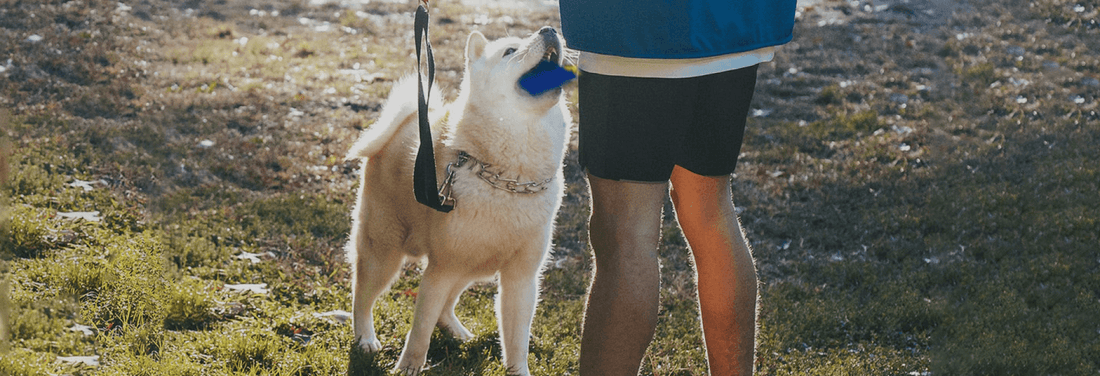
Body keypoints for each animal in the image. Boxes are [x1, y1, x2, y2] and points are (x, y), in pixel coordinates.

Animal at [343, 27, 572, 376]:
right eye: (510, 51)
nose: (549, 30)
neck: (510, 177)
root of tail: (404, 124)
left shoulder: (521, 280)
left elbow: (517, 340)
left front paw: (518, 370)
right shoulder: (439, 271)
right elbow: (420, 331)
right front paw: (408, 367)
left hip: (471, 266)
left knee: (446, 307)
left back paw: (456, 331)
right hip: (384, 255)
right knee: (362, 298)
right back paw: (365, 339)